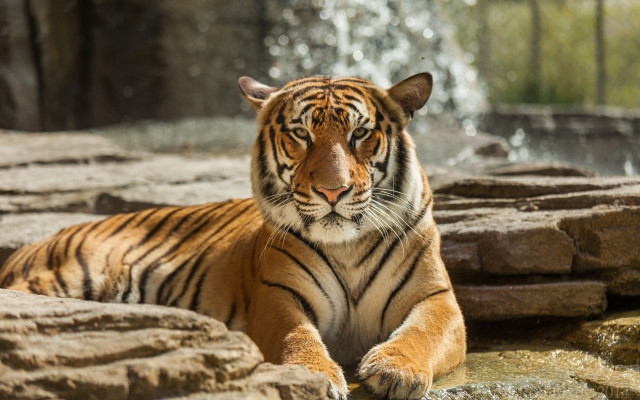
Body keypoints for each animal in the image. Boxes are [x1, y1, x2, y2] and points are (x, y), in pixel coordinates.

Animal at [0, 73, 466, 400]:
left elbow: (423, 331)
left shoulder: (436, 297)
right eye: (301, 134)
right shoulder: (278, 294)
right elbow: (296, 335)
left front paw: (396, 370)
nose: (333, 191)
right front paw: (314, 375)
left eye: (360, 134)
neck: (348, 245)